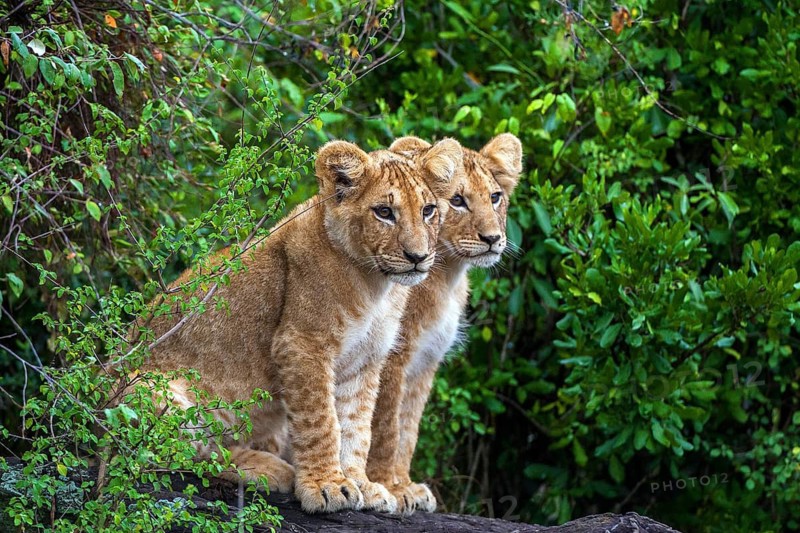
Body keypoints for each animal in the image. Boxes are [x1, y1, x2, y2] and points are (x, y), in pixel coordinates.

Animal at [134, 138, 464, 513]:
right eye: (384, 212)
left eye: (428, 210)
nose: (418, 257)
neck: (376, 285)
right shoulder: (302, 343)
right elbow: (322, 421)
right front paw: (326, 486)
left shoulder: (365, 361)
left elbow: (356, 427)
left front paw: (362, 485)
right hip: (151, 391)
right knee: (175, 455)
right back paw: (271, 471)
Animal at [366, 134, 523, 514]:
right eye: (457, 201)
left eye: (495, 197)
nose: (492, 238)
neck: (447, 277)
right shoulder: (392, 356)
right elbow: (386, 427)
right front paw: (390, 488)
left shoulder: (425, 362)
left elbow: (408, 427)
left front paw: (406, 486)